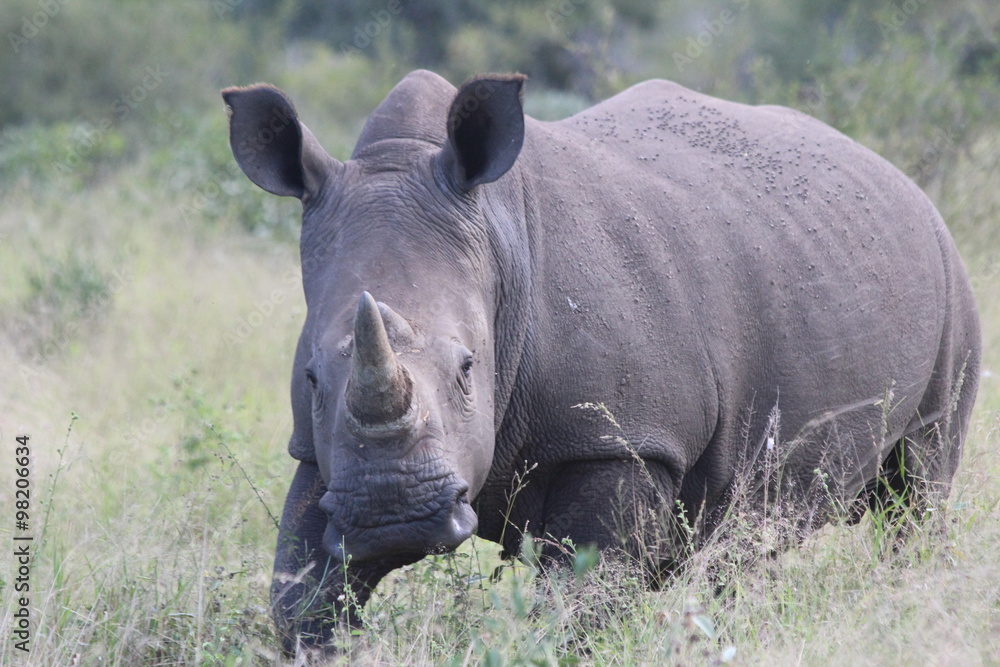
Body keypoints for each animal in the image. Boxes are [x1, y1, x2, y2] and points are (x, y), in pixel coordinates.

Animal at [222, 70, 980, 652]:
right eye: (313, 377)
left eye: (469, 369)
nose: (392, 515)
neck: (497, 237)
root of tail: (901, 178)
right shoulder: (319, 454)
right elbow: (300, 596)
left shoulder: (621, 439)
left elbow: (577, 605)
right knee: (744, 539)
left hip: (949, 282)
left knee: (918, 489)